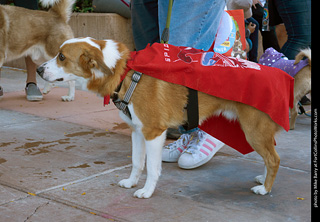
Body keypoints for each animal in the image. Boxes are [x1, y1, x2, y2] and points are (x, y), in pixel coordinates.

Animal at [38, 37, 282, 199]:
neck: (126, 71)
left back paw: (266, 188)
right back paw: (262, 179)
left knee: (274, 159)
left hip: (254, 131)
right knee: (270, 157)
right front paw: (131, 182)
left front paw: (146, 191)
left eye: (61, 57)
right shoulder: (137, 131)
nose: (39, 70)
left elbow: (153, 168)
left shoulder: (153, 133)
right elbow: (137, 162)